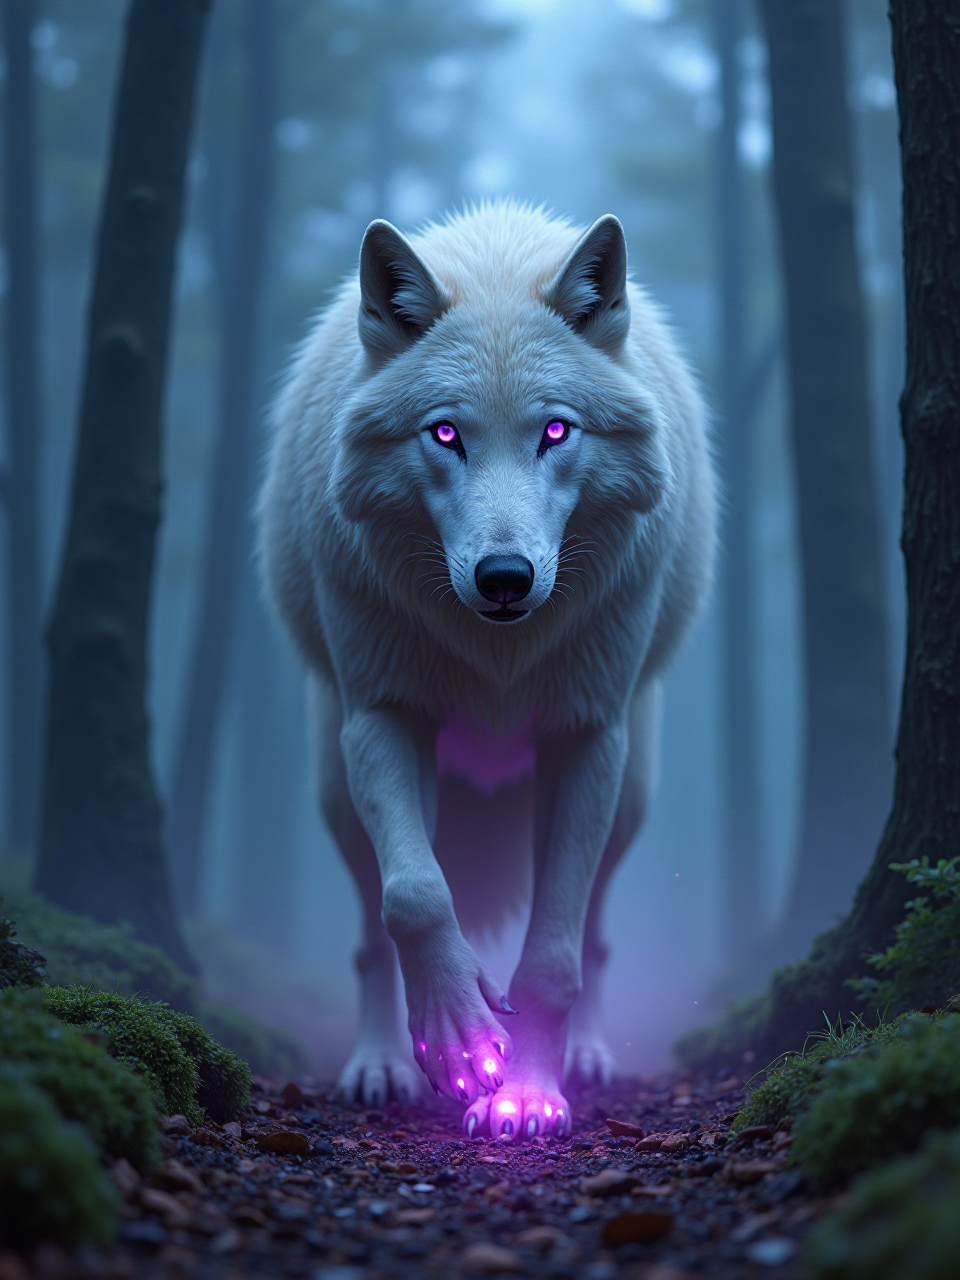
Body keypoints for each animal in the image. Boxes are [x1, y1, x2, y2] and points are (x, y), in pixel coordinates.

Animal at [258, 202, 716, 1140]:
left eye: (555, 431)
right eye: (445, 433)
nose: (505, 578)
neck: (496, 655)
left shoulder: (587, 736)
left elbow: (554, 955)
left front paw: (531, 1094)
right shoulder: (385, 714)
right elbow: (416, 898)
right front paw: (461, 1037)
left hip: (630, 790)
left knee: (596, 933)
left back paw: (587, 1057)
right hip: (335, 785)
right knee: (372, 928)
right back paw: (384, 1065)